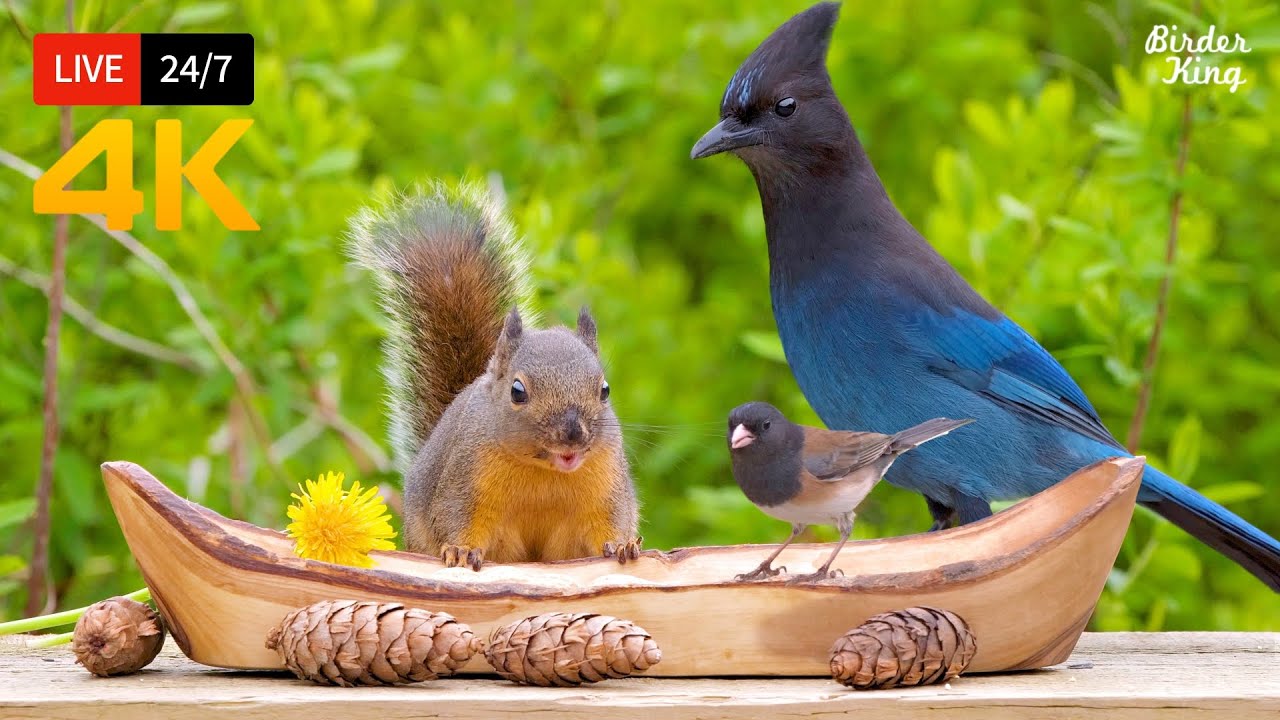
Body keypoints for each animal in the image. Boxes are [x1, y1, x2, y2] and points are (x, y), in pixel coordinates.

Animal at [346, 180, 641, 571]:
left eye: (604, 390)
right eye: (517, 391)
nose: (573, 435)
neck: (544, 471)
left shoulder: (606, 489)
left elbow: (609, 524)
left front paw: (623, 545)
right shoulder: (463, 486)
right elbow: (458, 522)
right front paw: (460, 550)